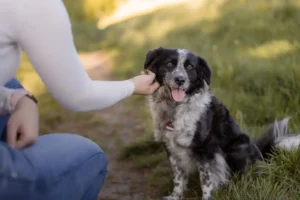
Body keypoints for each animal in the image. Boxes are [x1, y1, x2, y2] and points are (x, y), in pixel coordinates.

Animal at [144, 47, 300, 200]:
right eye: (169, 64)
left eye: (189, 67)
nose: (180, 80)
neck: (175, 108)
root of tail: (259, 153)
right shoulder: (171, 147)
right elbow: (178, 178)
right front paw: (175, 196)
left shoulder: (205, 150)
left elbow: (206, 181)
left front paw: (207, 197)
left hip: (236, 148)